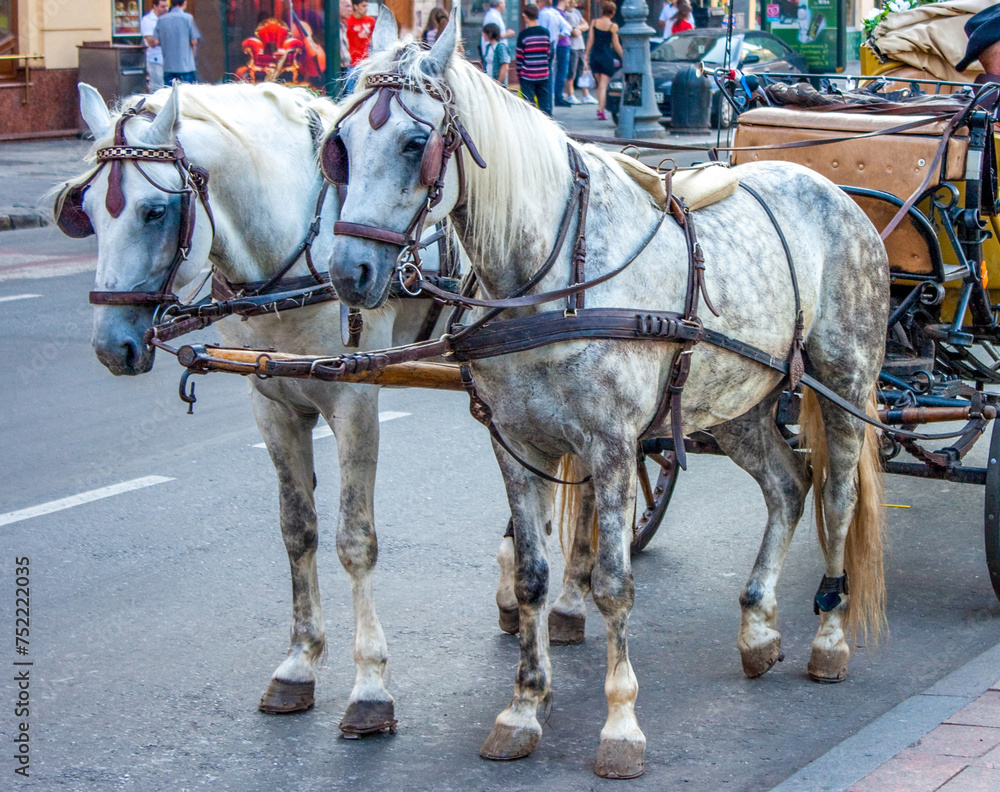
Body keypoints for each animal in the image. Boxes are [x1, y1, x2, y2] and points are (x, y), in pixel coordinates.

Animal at [324, 9, 888, 780]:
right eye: (341, 146)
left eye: (416, 144)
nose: (348, 270)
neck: (549, 277)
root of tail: (831, 191)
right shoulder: (516, 444)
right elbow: (532, 576)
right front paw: (523, 708)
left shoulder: (614, 448)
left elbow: (615, 584)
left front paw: (621, 726)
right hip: (737, 401)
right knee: (786, 486)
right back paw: (757, 627)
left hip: (845, 378)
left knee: (835, 497)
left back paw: (828, 637)